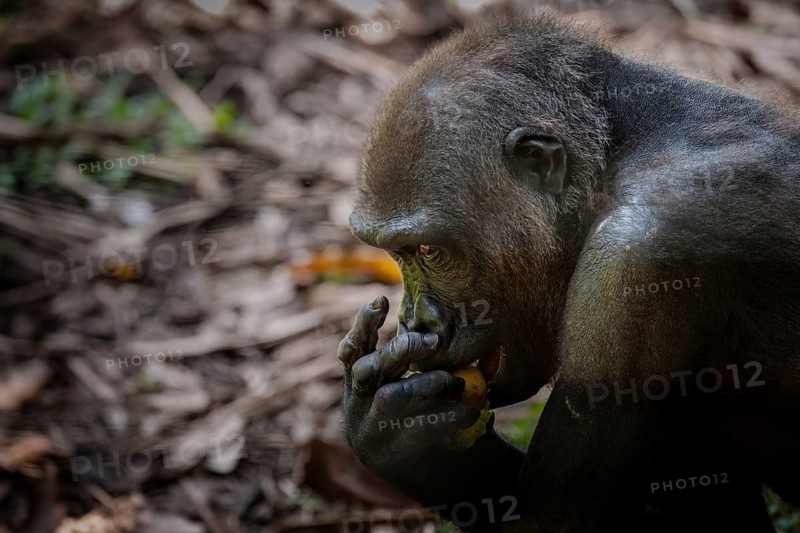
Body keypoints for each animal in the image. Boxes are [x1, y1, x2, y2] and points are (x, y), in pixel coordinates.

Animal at [337, 13, 800, 532]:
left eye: (431, 251)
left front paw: (390, 437)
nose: (416, 321)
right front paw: (400, 436)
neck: (611, 162)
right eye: (396, 255)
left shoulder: (639, 258)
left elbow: (556, 517)